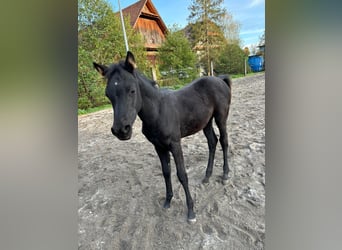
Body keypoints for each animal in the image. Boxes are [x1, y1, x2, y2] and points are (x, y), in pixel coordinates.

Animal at [94, 50, 232, 223]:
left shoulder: (175, 144)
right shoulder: (159, 147)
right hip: (205, 122)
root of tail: (219, 79)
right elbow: (166, 172)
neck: (158, 111)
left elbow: (182, 175)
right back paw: (207, 176)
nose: (121, 130)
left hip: (221, 118)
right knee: (212, 142)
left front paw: (191, 212)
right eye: (108, 95)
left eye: (132, 90)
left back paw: (225, 174)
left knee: (224, 141)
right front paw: (168, 201)